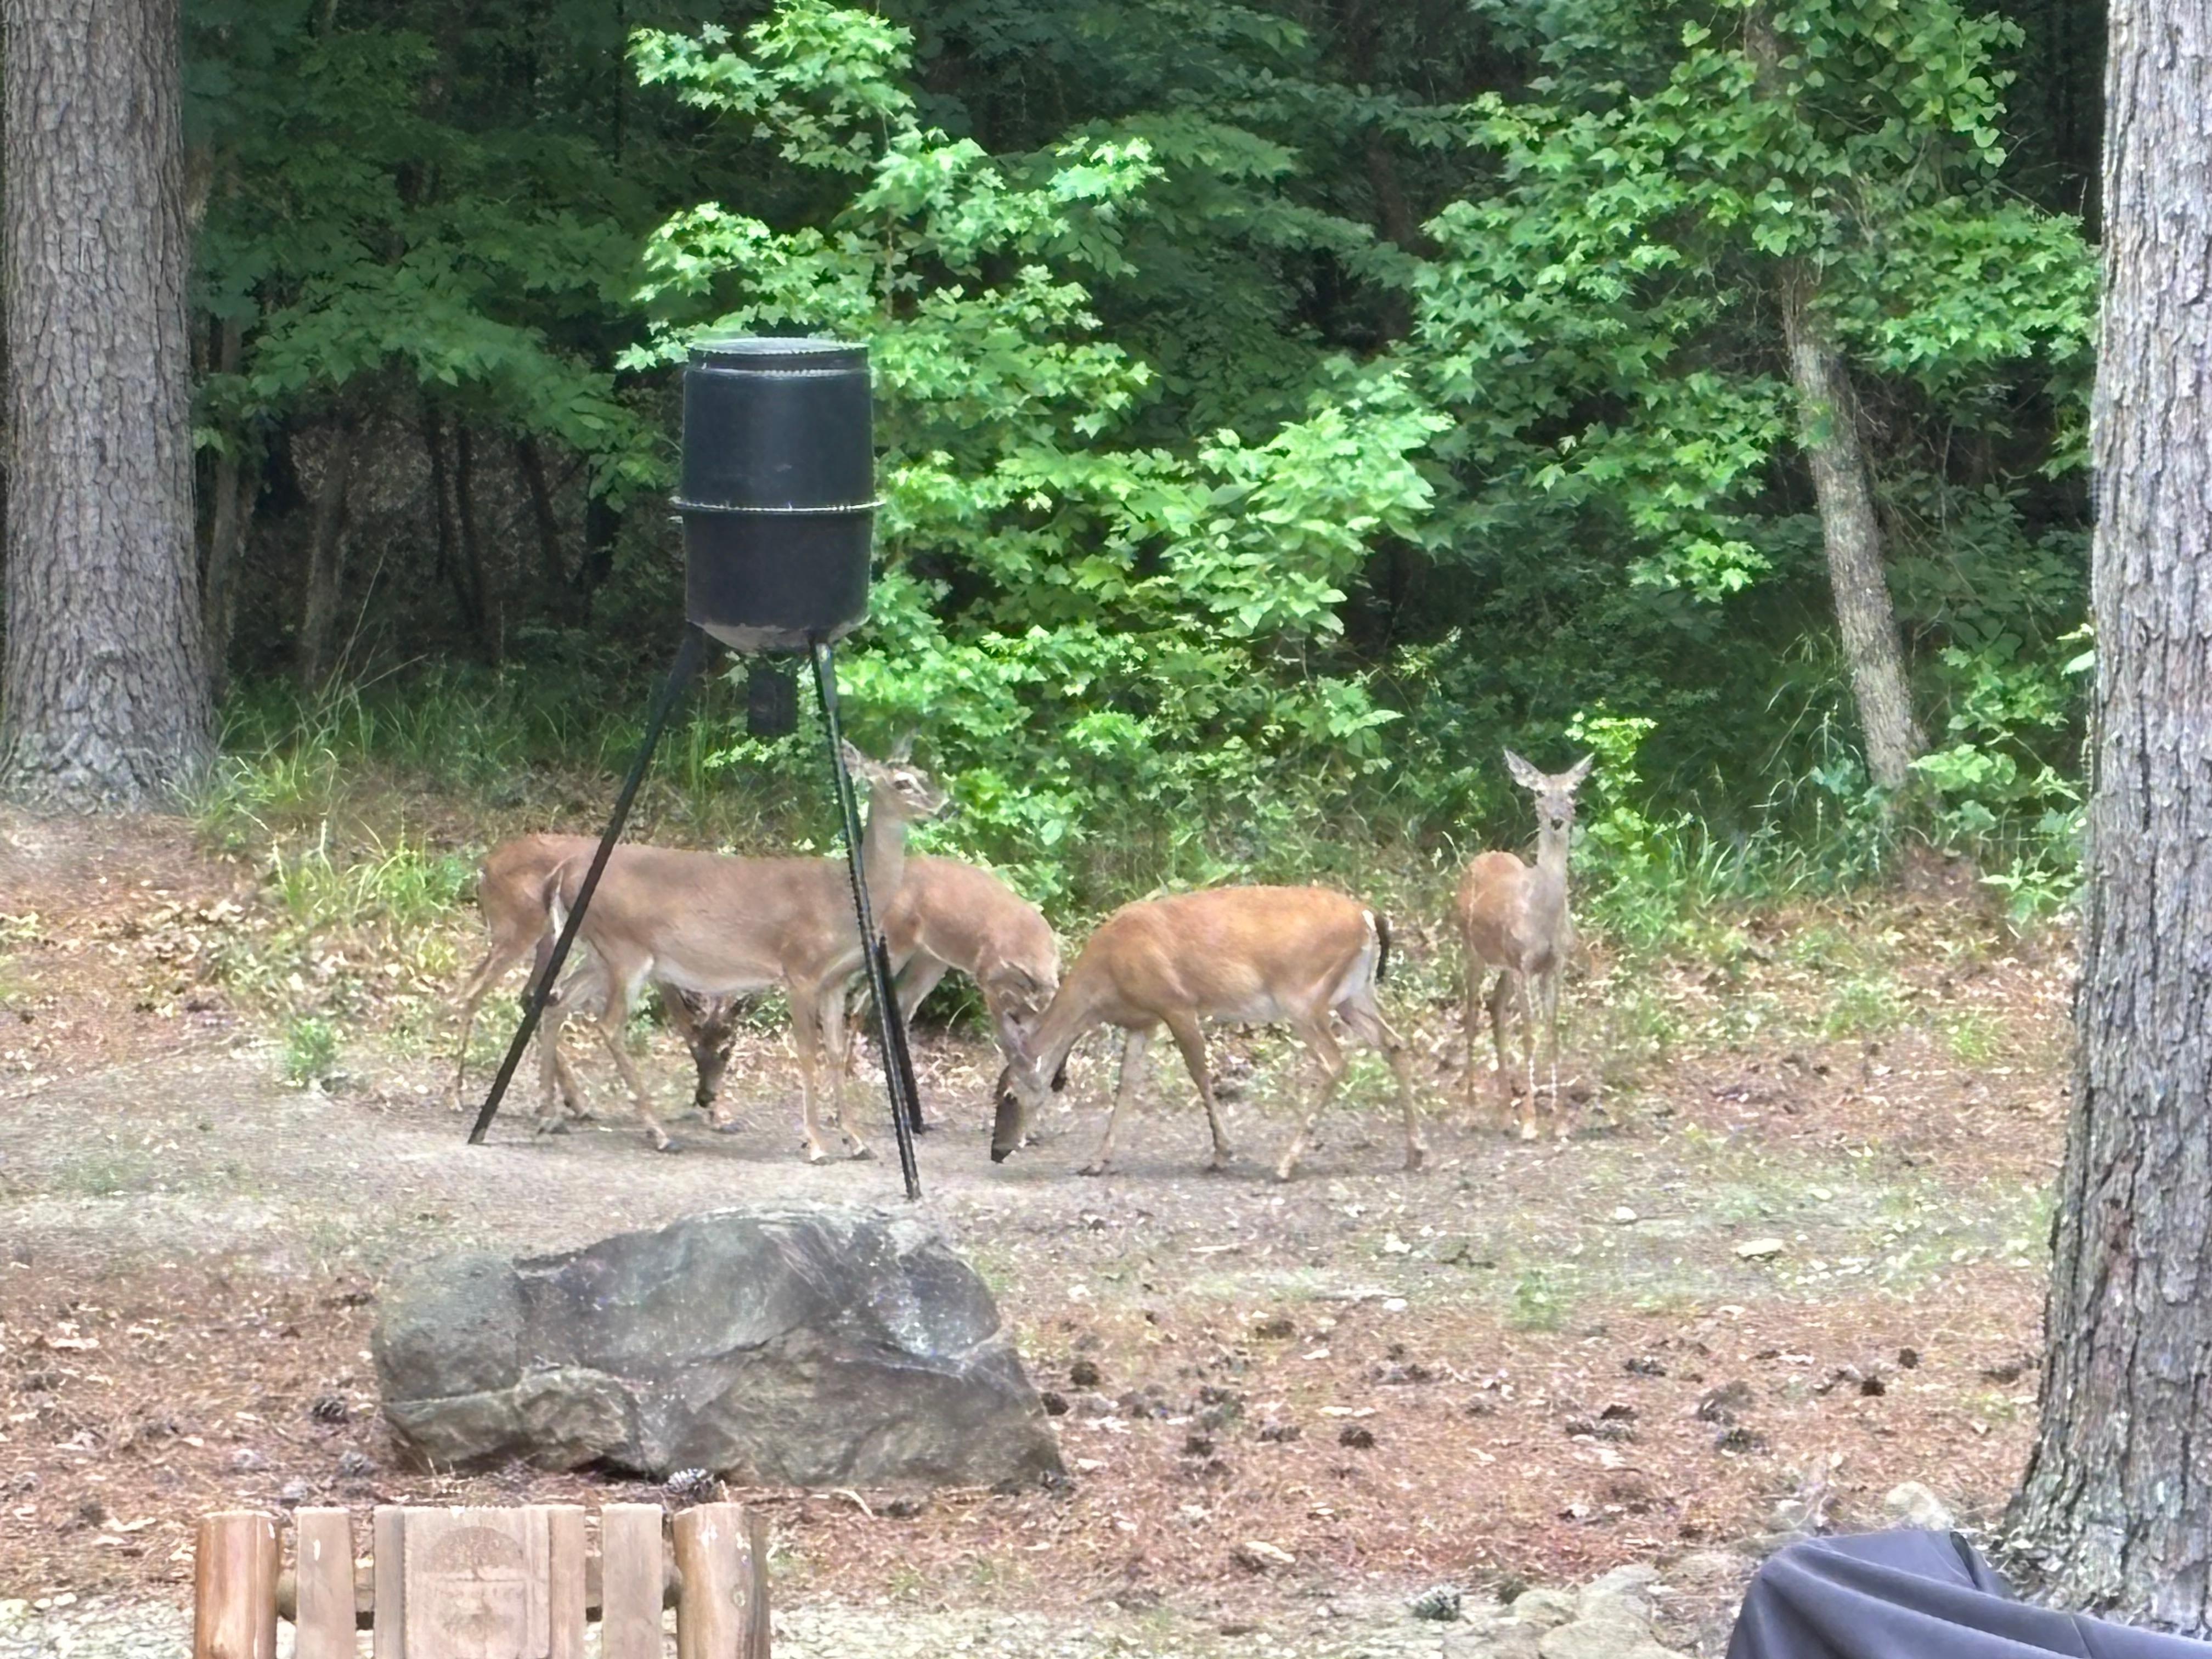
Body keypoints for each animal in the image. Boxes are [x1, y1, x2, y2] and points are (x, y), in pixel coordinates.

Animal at [449, 833, 739, 1120]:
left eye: (730, 1045)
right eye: (724, 1048)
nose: (706, 1097)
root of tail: (486, 869)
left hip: (544, 939)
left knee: (529, 995)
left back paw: (574, 1102)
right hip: (519, 929)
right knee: (474, 990)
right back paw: (456, 1096)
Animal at [535, 740, 951, 1158]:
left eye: (925, 773)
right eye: (902, 782)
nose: (944, 803)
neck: (844, 905)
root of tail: (562, 873)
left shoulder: (837, 981)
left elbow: (833, 1051)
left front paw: (856, 1140)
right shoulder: (800, 969)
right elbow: (806, 1051)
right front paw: (815, 1143)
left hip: (599, 953)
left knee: (556, 1002)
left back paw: (551, 1115)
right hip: (626, 950)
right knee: (608, 1024)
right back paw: (658, 1132)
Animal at [841, 856, 1061, 1111]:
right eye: (990, 971)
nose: (980, 973)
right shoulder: (994, 996)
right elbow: (1008, 1039)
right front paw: (1029, 1079)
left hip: (931, 960)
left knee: (901, 1004)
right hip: (897, 944)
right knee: (862, 999)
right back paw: (850, 1067)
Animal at [988, 885, 1424, 1183]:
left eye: (1008, 1096)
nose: (997, 1151)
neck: (1106, 980)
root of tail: (1367, 916)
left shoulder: (1177, 1004)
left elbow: (1199, 1074)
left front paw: (1222, 1153)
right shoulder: (1142, 1021)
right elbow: (1127, 1084)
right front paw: (1097, 1161)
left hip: (1303, 997)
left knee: (1335, 1061)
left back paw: (1285, 1163)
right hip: (1354, 995)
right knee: (1395, 1045)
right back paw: (1415, 1152)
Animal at [1456, 749, 1594, 1141]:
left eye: (1572, 792)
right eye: (1539, 794)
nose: (1558, 819)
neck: (1542, 915)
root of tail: (1481, 858)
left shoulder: (1554, 965)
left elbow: (1552, 1032)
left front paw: (1559, 1123)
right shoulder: (1523, 963)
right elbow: (1531, 1034)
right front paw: (1532, 1123)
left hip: (1502, 962)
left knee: (1494, 1009)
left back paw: (1504, 1113)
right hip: (1471, 949)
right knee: (1471, 1014)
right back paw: (1471, 1110)